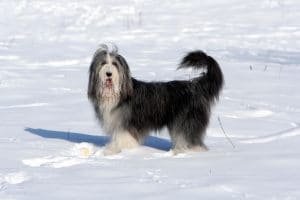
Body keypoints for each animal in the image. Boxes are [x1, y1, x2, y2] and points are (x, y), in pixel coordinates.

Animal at [86, 44, 223, 155]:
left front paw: (115, 151)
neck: (117, 94)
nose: (108, 74)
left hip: (187, 121)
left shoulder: (125, 123)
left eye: (114, 64)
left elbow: (123, 138)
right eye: (103, 63)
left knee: (189, 138)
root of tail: (195, 86)